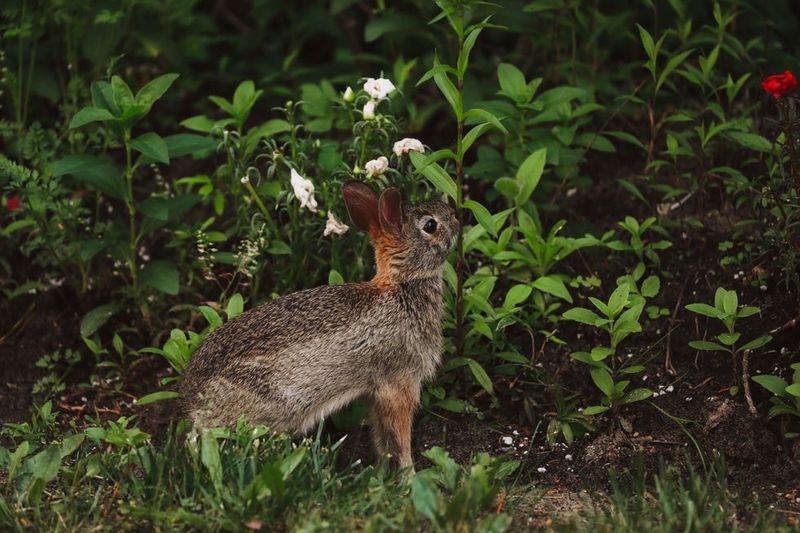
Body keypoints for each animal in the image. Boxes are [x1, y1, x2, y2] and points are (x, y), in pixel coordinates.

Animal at [180, 181, 458, 470]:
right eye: (430, 225)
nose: (456, 218)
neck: (401, 284)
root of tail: (194, 402)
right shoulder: (399, 383)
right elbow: (397, 437)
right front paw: (407, 473)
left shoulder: (376, 393)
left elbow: (381, 437)